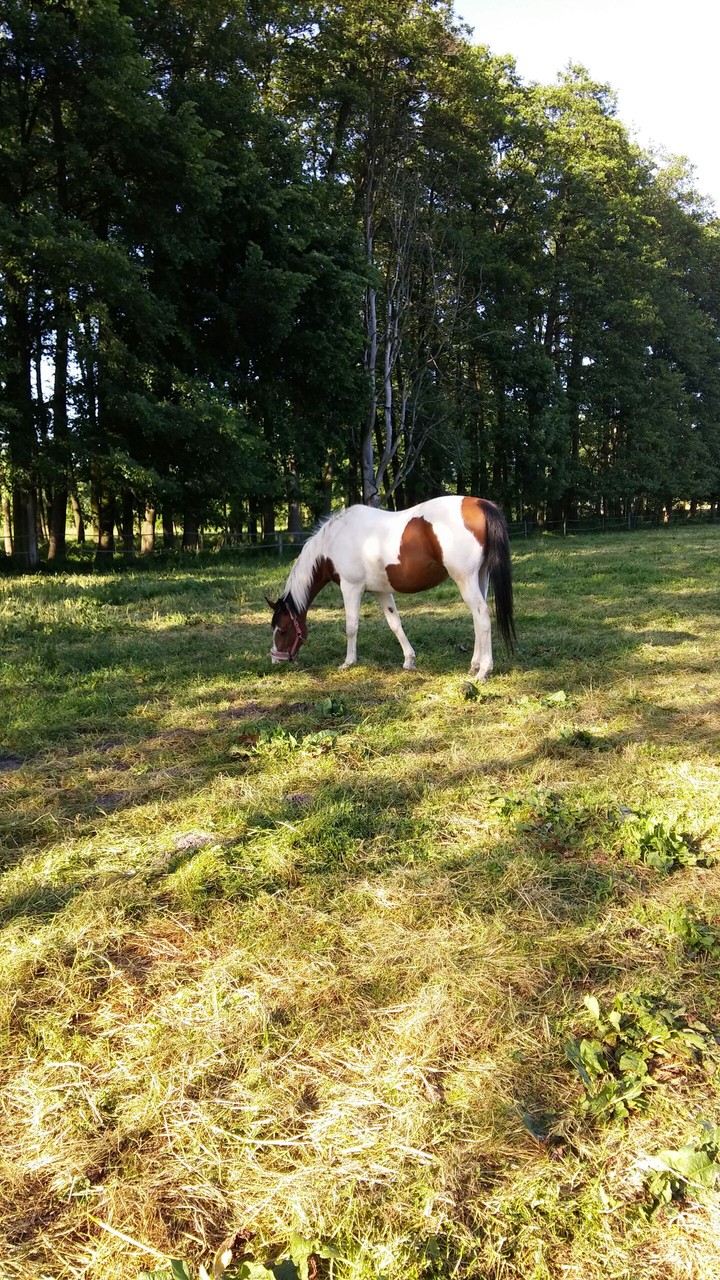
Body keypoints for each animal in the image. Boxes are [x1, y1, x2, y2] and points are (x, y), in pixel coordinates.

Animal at [268, 495, 515, 677]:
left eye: (283, 630)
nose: (276, 660)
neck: (333, 541)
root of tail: (480, 504)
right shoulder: (381, 591)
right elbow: (395, 624)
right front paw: (409, 660)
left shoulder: (351, 588)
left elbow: (351, 627)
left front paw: (348, 662)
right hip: (480, 578)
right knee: (477, 620)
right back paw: (475, 665)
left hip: (465, 579)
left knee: (482, 616)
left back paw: (483, 671)